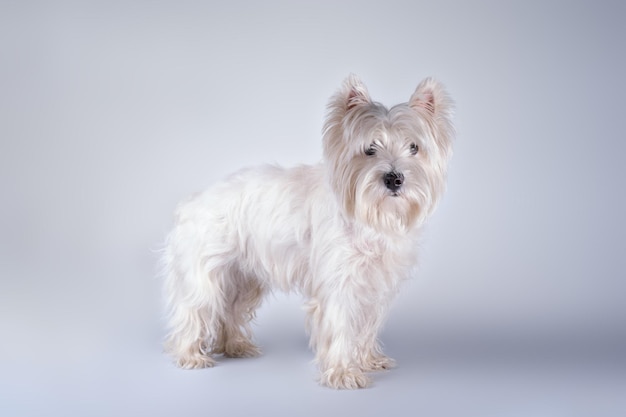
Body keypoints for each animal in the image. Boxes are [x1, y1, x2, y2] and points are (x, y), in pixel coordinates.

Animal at [163, 74, 450, 386]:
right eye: (369, 149)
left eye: (414, 148)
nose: (394, 179)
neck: (370, 216)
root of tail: (193, 202)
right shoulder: (339, 283)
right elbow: (340, 327)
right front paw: (343, 372)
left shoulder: (373, 286)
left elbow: (365, 326)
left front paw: (367, 360)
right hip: (205, 277)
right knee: (195, 310)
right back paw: (191, 355)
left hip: (242, 279)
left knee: (229, 311)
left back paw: (235, 346)